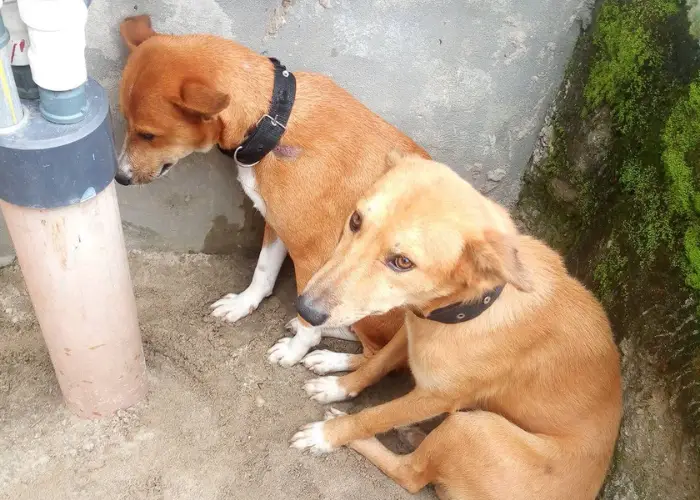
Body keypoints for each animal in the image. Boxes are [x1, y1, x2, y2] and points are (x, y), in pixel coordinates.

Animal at [115, 15, 430, 376]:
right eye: (126, 122)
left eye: (148, 135)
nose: (119, 177)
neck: (274, 121)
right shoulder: (276, 224)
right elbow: (263, 273)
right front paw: (243, 304)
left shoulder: (312, 255)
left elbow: (310, 321)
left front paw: (295, 351)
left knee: (378, 356)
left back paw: (326, 358)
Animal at [292, 152, 624, 500]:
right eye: (356, 220)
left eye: (403, 262)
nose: (305, 309)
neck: (470, 310)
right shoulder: (410, 329)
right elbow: (377, 364)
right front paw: (337, 387)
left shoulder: (435, 398)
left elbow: (374, 415)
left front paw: (330, 434)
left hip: (468, 428)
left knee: (411, 473)